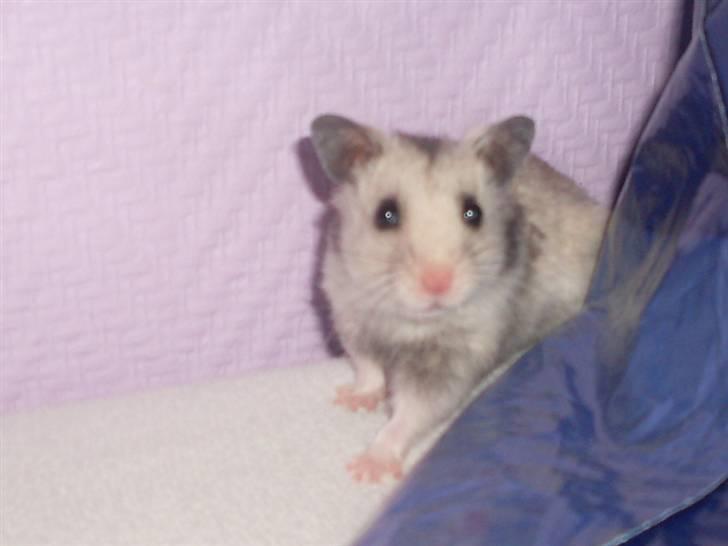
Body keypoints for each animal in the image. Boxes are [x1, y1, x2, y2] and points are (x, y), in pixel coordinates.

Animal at [310, 114, 607, 483]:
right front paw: (351, 401)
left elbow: (412, 412)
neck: (407, 322)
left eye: (473, 212)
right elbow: (368, 369)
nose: (439, 283)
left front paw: (366, 469)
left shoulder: (451, 362)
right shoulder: (349, 315)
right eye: (386, 214)